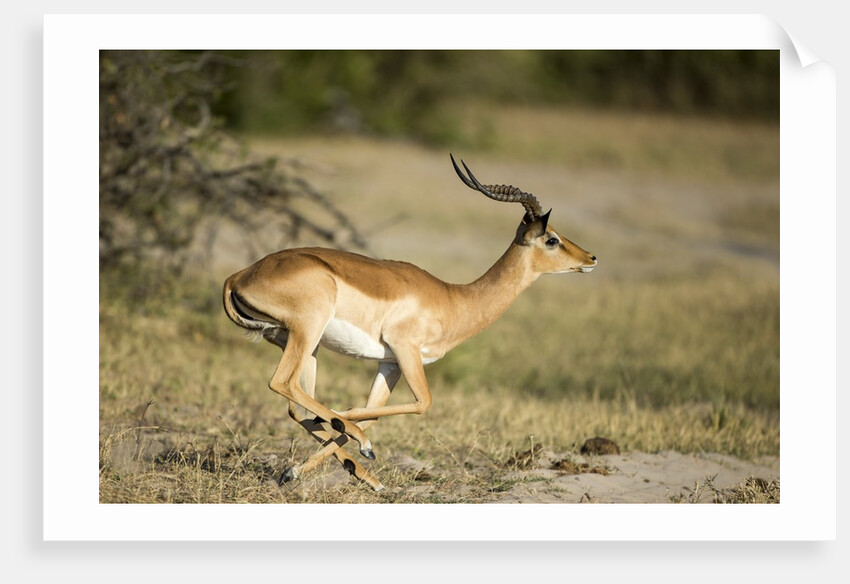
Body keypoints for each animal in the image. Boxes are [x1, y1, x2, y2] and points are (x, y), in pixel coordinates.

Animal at [222, 155, 597, 491]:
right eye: (552, 239)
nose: (591, 258)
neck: (454, 299)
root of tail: (240, 274)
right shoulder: (406, 350)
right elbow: (421, 403)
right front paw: (351, 426)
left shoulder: (390, 363)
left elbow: (374, 412)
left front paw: (305, 467)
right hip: (308, 331)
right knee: (282, 384)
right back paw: (355, 442)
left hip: (300, 343)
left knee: (297, 404)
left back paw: (350, 471)